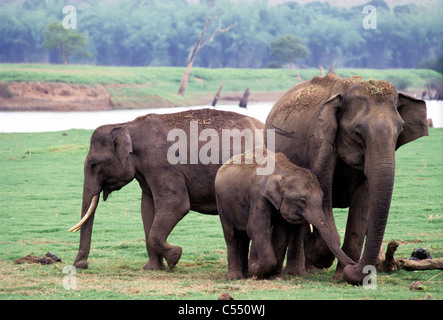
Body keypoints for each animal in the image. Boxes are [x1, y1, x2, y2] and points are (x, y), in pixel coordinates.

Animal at [69, 109, 264, 272]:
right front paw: (151, 269)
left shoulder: (162, 164)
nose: (81, 264)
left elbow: (176, 205)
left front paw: (175, 257)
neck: (129, 125)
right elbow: (147, 209)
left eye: (94, 165)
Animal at [213, 148, 356, 280]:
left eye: (322, 198)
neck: (284, 170)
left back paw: (246, 275)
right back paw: (235, 277)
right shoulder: (258, 194)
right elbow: (256, 228)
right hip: (221, 202)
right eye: (302, 201)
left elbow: (281, 233)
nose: (354, 264)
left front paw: (274, 277)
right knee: (231, 235)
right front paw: (256, 270)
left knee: (244, 236)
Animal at [266, 75, 428, 284]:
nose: (355, 267)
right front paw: (321, 256)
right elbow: (323, 197)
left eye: (399, 132)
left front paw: (342, 275)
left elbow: (363, 203)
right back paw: (301, 270)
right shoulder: (321, 147)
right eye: (357, 133)